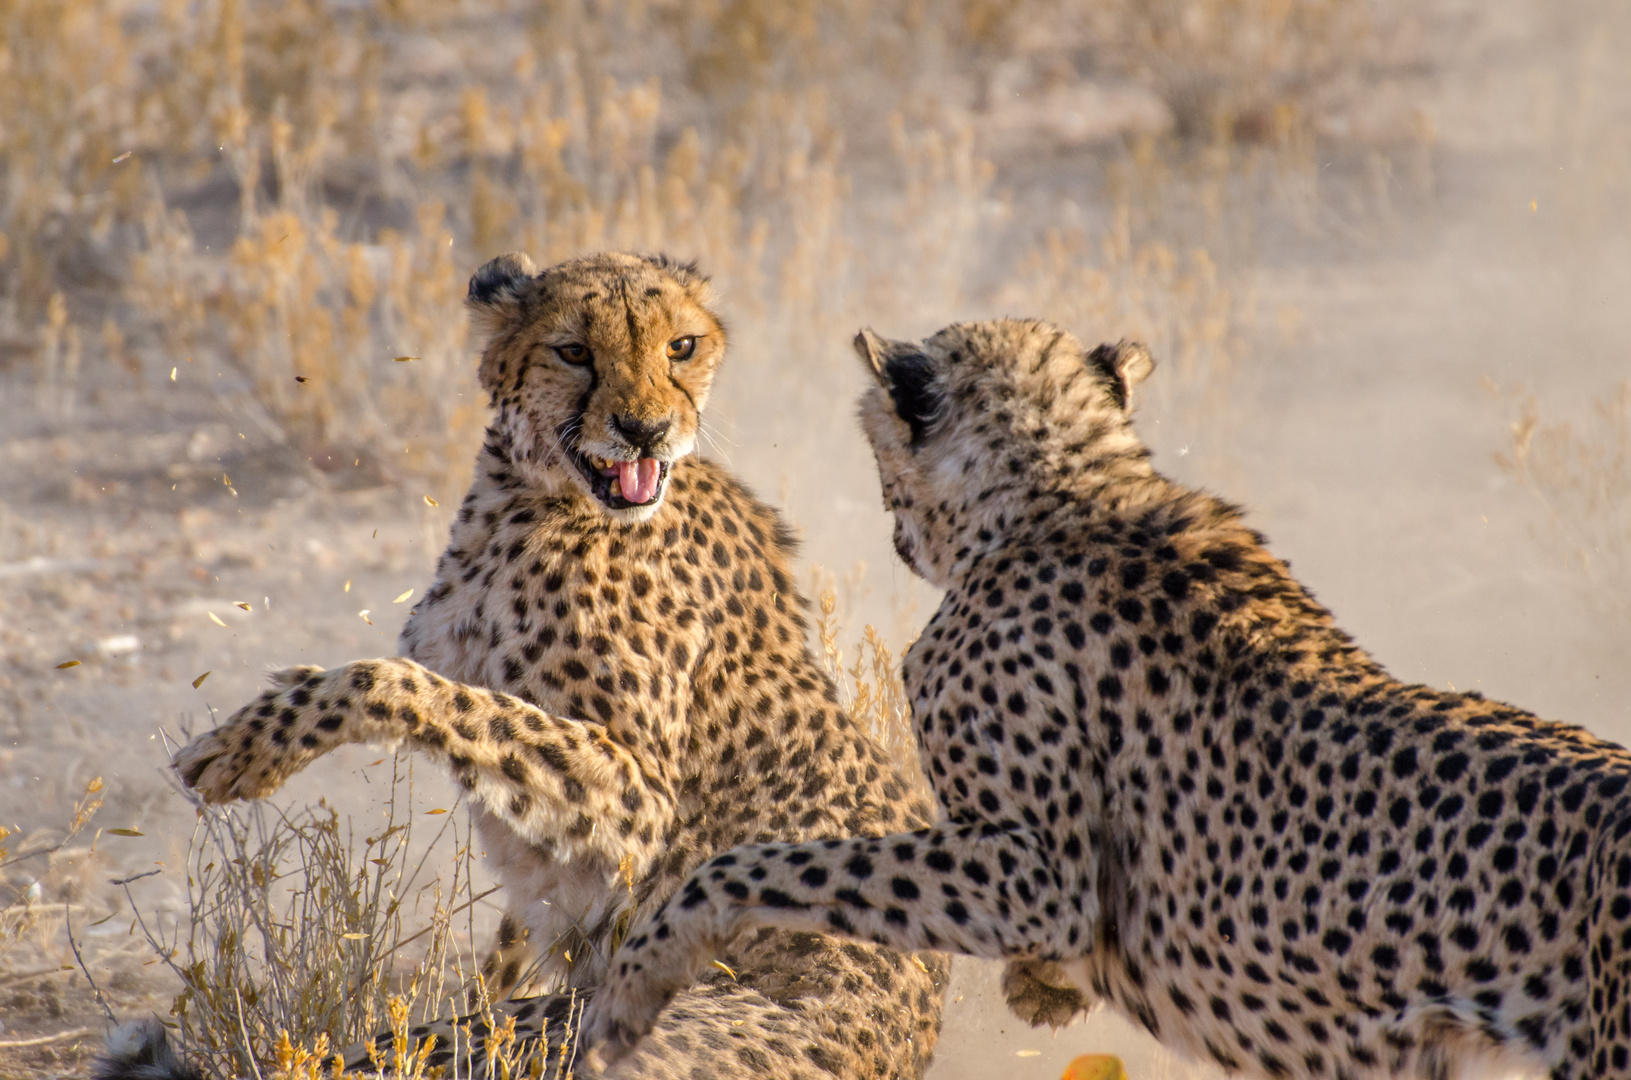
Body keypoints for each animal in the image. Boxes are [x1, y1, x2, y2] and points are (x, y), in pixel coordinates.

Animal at [151, 256, 952, 1080]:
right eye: (573, 352)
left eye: (681, 346)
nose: (645, 431)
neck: (536, 499)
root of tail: (907, 1037)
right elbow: (509, 936)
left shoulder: (639, 803)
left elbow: (401, 684)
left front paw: (244, 749)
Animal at [583, 321, 1631, 1080]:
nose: (891, 530)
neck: (1062, 495)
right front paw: (1044, 994)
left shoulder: (1033, 876)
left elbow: (761, 863)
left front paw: (637, 988)